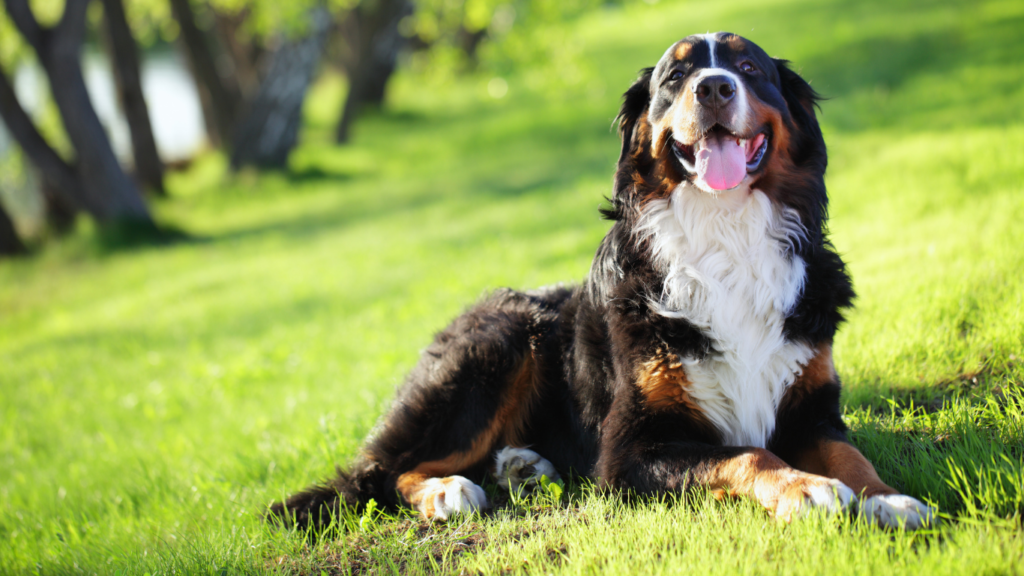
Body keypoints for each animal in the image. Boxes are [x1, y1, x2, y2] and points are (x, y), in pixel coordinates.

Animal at [272, 30, 937, 524]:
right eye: (675, 78)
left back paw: (521, 466)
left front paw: (891, 499)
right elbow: (746, 454)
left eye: (749, 67)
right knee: (389, 471)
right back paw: (448, 492)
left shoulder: (812, 407)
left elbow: (850, 456)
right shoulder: (629, 448)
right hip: (502, 339)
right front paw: (807, 488)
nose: (714, 87)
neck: (725, 235)